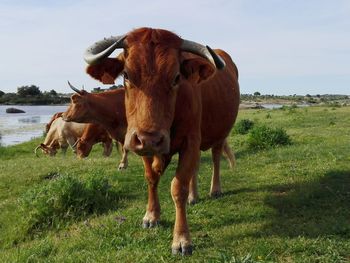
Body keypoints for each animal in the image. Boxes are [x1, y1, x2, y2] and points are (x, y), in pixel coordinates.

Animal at [83, 28, 239, 256]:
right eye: (126, 75)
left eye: (176, 77)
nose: (150, 139)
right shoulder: (145, 147)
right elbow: (151, 178)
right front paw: (151, 215)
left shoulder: (190, 141)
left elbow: (178, 187)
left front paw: (181, 239)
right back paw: (194, 196)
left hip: (219, 134)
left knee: (216, 158)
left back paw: (215, 190)